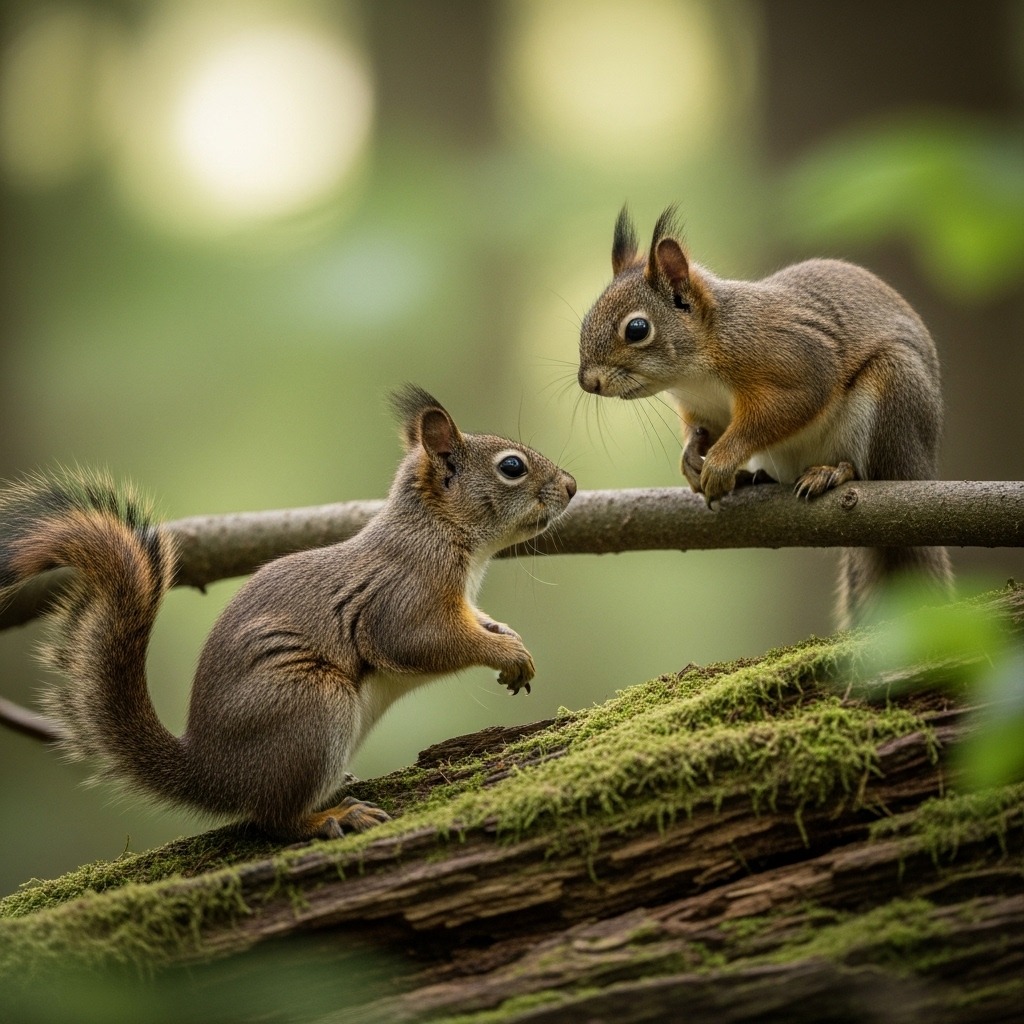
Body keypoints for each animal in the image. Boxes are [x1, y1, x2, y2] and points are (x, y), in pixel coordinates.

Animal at [0, 386, 576, 841]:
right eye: (511, 467)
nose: (572, 486)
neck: (443, 535)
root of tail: (211, 772)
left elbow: (478, 620)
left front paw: (509, 638)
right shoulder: (402, 598)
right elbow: (421, 641)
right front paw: (500, 650)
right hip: (311, 707)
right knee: (271, 819)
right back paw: (329, 818)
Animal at [578, 206, 953, 628]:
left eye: (637, 329)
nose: (587, 382)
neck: (695, 370)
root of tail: (922, 468)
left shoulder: (793, 363)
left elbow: (773, 415)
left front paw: (721, 462)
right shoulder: (704, 408)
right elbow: (702, 430)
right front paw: (690, 459)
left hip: (894, 395)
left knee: (872, 471)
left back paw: (834, 472)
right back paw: (753, 477)